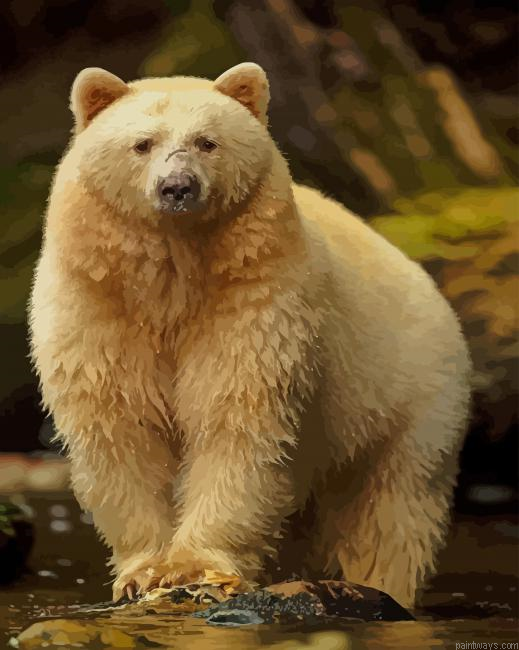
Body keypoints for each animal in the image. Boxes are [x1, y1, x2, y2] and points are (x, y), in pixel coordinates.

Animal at [29, 62, 471, 607]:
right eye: (142, 143)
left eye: (207, 142)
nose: (177, 187)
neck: (172, 274)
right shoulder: (98, 308)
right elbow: (120, 429)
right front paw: (142, 572)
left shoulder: (255, 300)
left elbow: (238, 420)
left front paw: (196, 570)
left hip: (407, 400)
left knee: (390, 513)